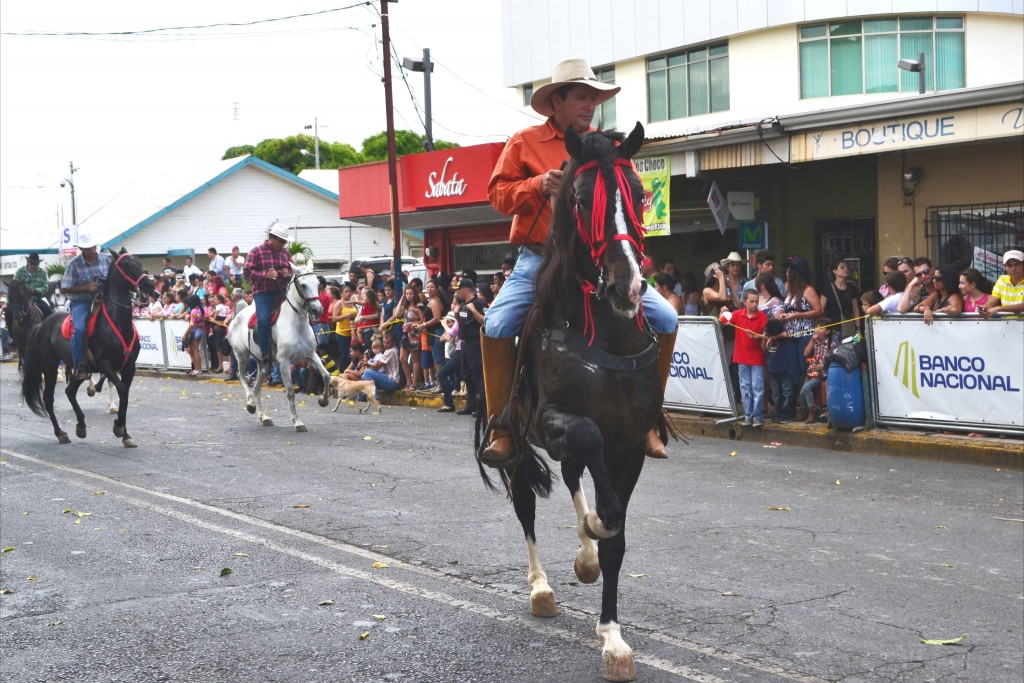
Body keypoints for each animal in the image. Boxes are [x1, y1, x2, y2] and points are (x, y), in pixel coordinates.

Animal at [20, 250, 155, 448]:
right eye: (126, 265)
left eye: (139, 263)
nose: (149, 285)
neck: (117, 323)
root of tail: (42, 325)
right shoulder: (105, 364)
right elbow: (122, 389)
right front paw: (118, 427)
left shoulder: (129, 367)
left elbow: (124, 394)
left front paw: (125, 434)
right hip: (50, 367)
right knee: (48, 399)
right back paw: (61, 433)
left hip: (78, 370)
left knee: (70, 392)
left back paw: (81, 425)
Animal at [229, 266, 331, 430]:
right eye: (303, 285)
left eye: (317, 283)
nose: (317, 310)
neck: (296, 325)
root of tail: (237, 315)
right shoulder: (284, 362)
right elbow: (290, 392)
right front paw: (297, 421)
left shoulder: (311, 355)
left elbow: (327, 376)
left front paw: (323, 400)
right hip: (242, 355)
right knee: (241, 376)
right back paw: (250, 403)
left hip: (262, 363)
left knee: (257, 388)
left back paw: (264, 417)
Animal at [477, 122, 663, 683]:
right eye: (582, 200)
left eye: (639, 195)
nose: (628, 286)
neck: (608, 336)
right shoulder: (555, 420)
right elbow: (596, 477)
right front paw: (594, 528)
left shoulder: (630, 445)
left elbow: (616, 535)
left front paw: (614, 638)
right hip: (516, 443)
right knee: (526, 500)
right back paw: (541, 587)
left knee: (574, 473)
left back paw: (585, 556)